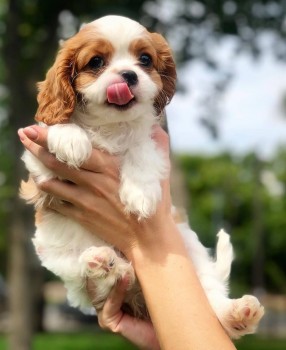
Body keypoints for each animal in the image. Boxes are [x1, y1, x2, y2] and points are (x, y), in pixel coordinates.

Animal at [21, 15, 264, 338]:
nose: (129, 75)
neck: (111, 125)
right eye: (96, 62)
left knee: (210, 294)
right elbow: (52, 131)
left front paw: (140, 195)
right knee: (95, 283)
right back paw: (108, 264)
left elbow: (140, 148)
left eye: (145, 60)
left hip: (188, 247)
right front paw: (69, 138)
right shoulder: (37, 167)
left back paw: (237, 313)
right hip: (61, 257)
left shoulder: (153, 142)